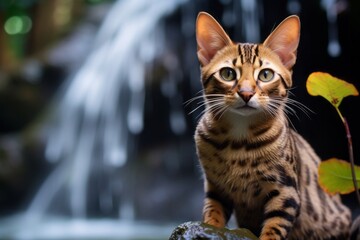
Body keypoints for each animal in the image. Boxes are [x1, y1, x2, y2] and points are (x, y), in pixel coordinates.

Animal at [194, 12, 352, 239]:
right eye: (228, 74)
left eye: (265, 74)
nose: (246, 93)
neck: (238, 143)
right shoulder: (215, 186)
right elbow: (212, 212)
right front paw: (210, 229)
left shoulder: (286, 191)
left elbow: (274, 228)